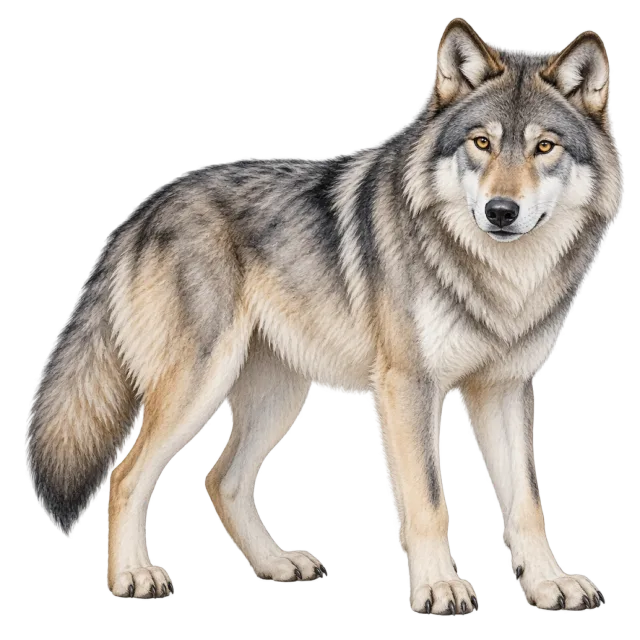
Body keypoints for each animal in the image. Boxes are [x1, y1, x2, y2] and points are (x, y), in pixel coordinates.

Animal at [26, 17, 622, 614]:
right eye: (482, 143)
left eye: (544, 147)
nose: (501, 211)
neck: (500, 278)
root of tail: (143, 211)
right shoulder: (408, 386)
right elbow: (429, 501)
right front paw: (439, 588)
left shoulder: (505, 388)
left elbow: (526, 501)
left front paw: (548, 583)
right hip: (199, 385)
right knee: (125, 476)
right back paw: (134, 576)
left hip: (279, 395)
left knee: (221, 480)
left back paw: (276, 565)